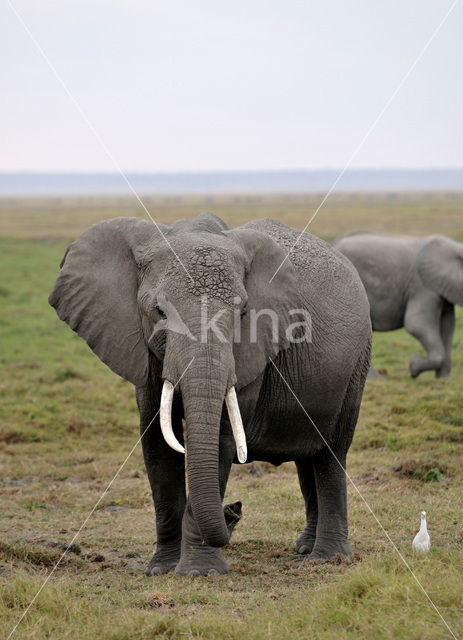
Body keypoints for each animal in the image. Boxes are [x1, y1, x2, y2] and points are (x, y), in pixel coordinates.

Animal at [49, 214, 372, 576]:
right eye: (159, 311)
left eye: (243, 314)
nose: (234, 511)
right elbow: (157, 446)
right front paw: (161, 569)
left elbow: (218, 442)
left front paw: (199, 572)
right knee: (308, 456)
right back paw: (303, 548)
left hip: (356, 366)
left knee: (330, 455)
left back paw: (327, 557)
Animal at [334, 231, 463, 378]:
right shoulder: (421, 285)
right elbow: (416, 324)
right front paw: (413, 366)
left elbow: (448, 326)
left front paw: (443, 379)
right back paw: (377, 379)